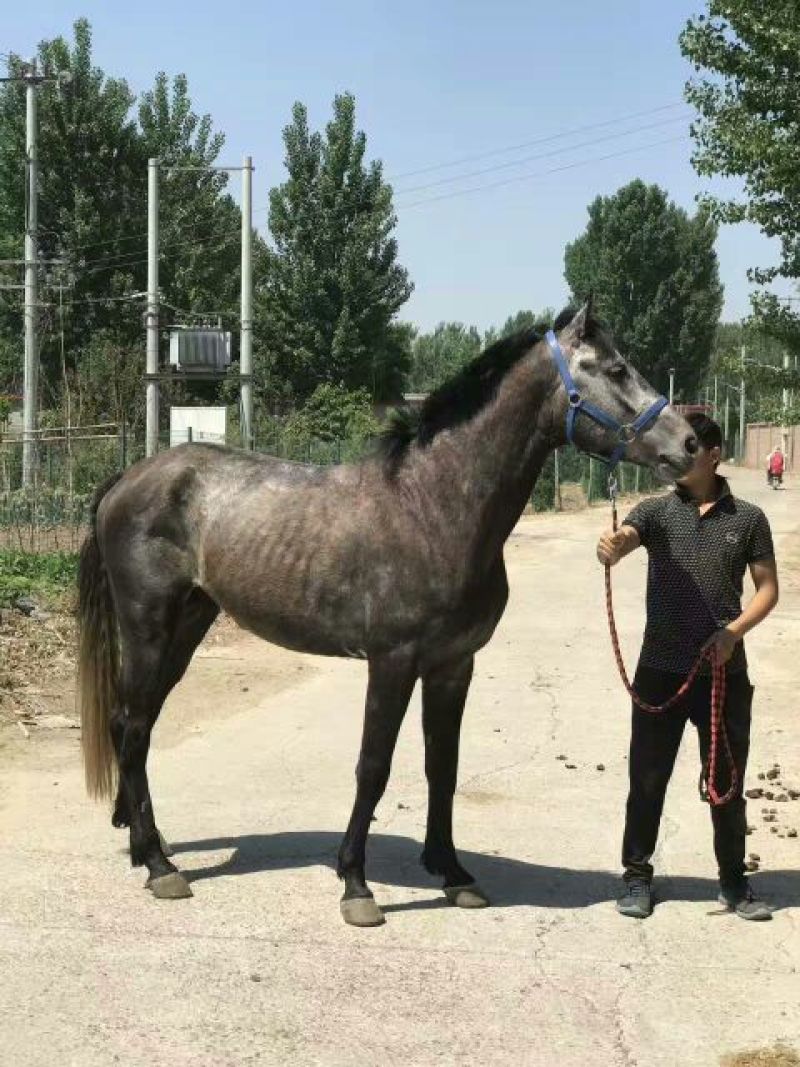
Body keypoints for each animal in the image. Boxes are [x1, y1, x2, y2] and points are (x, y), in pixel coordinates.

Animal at [76, 300, 698, 926]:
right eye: (616, 369)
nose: (690, 442)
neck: (434, 505)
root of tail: (130, 477)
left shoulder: (453, 666)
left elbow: (442, 767)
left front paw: (453, 873)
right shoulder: (393, 662)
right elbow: (373, 766)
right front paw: (356, 884)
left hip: (189, 625)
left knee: (134, 724)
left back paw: (142, 845)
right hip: (148, 626)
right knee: (132, 727)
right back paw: (160, 866)